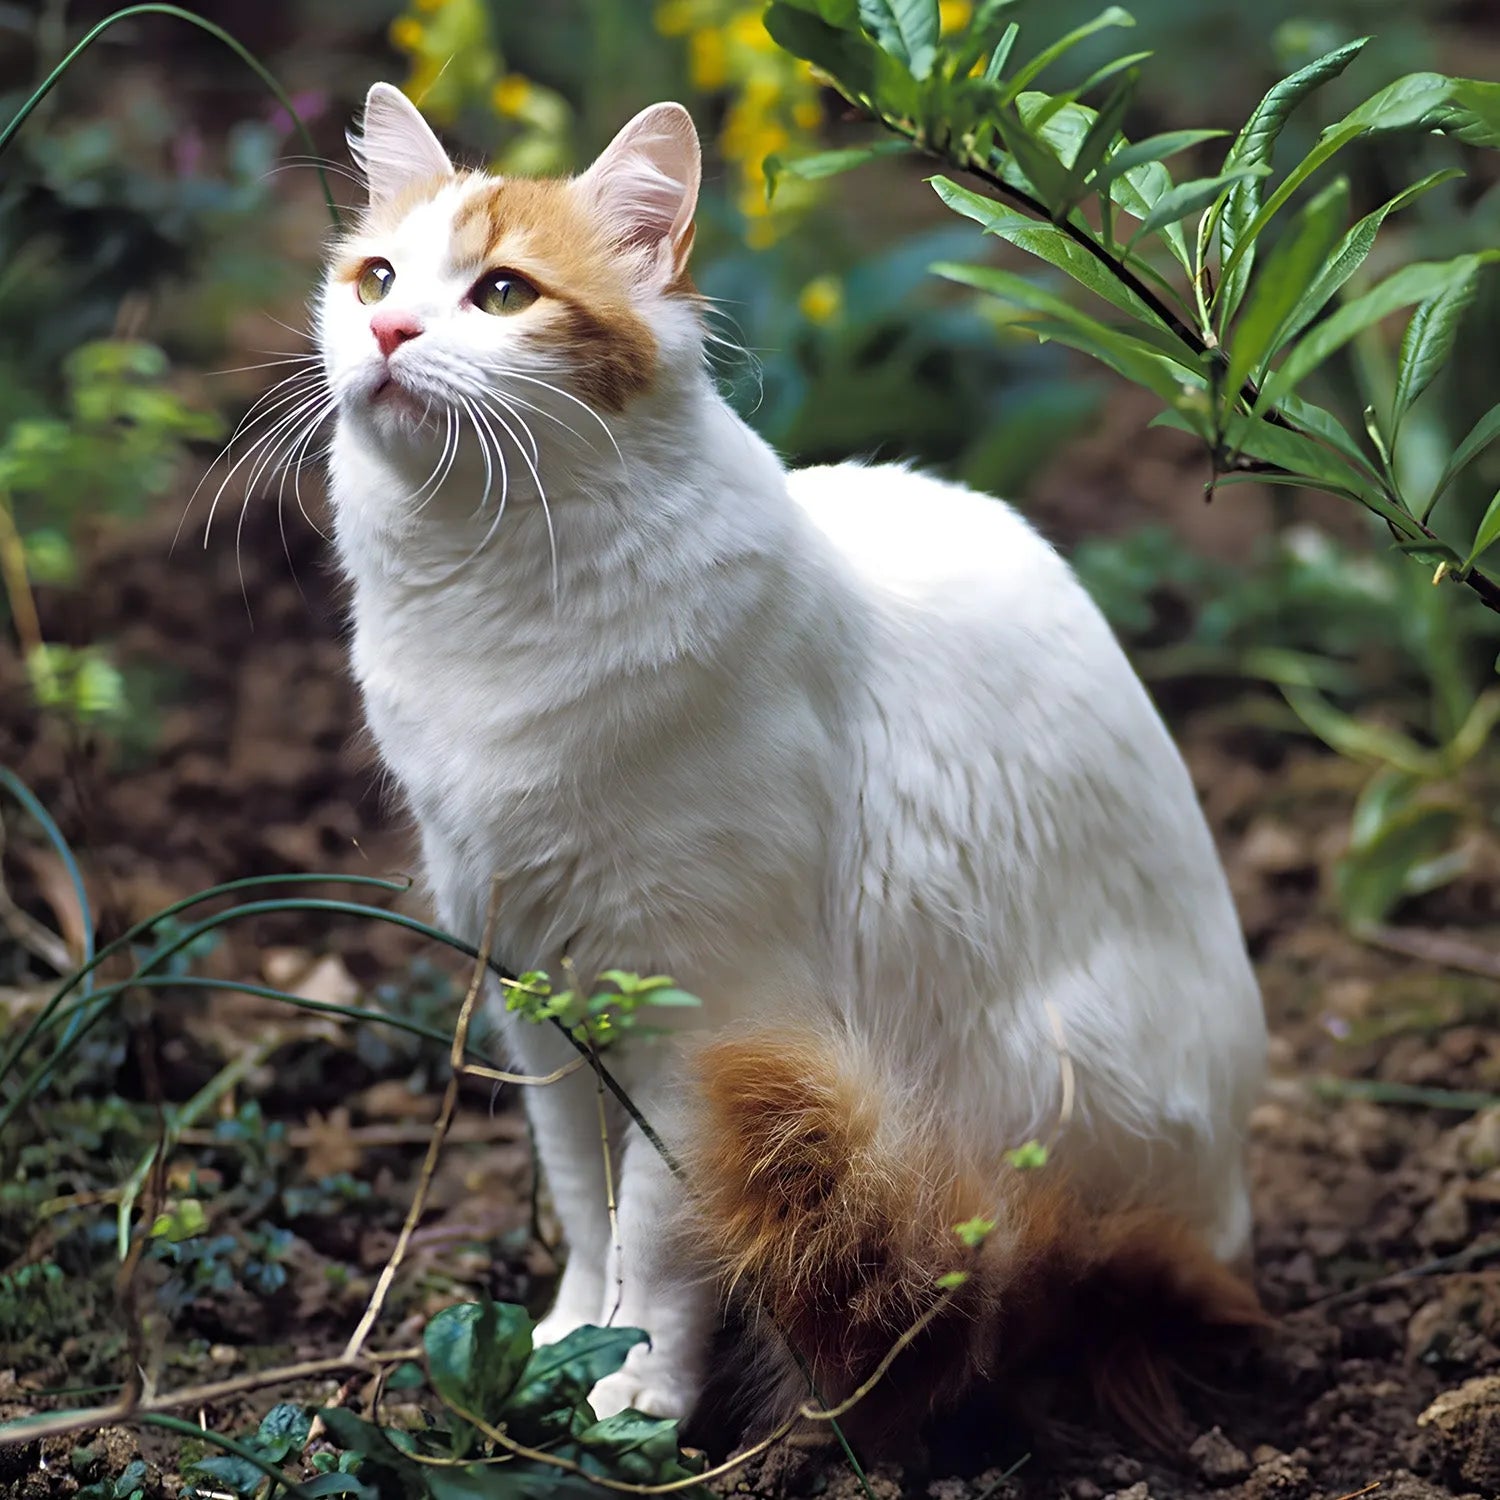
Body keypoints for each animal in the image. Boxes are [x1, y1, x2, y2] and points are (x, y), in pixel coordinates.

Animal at [313, 87, 1266, 1446]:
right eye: (378, 278)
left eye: (501, 294)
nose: (388, 331)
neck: (488, 585)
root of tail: (1227, 1206)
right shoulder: (540, 992)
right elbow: (582, 1203)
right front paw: (562, 1342)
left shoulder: (702, 1013)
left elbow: (660, 1235)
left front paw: (635, 1388)